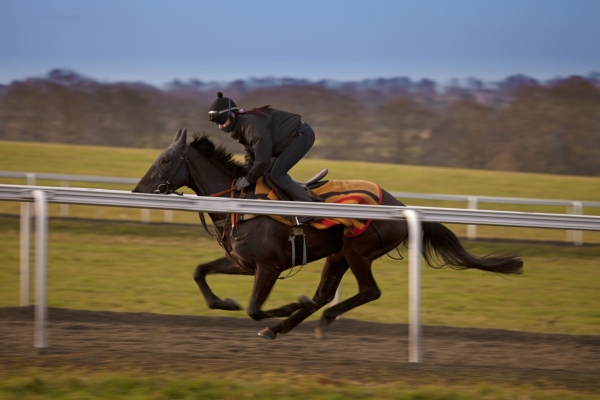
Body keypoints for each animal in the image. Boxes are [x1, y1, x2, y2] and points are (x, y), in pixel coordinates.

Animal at [134, 129, 524, 340]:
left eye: (165, 160)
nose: (138, 190)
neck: (239, 204)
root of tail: (400, 207)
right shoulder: (243, 264)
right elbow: (200, 271)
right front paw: (224, 303)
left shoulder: (269, 266)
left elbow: (255, 309)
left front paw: (287, 305)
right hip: (337, 255)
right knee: (325, 295)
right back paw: (287, 326)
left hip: (357, 251)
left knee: (367, 291)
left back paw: (316, 319)